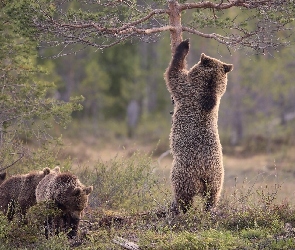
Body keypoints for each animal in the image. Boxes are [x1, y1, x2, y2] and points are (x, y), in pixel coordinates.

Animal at [164, 39, 234, 215]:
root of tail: (204, 172)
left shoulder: (186, 90)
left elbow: (173, 73)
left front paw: (184, 45)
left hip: (184, 173)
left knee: (183, 192)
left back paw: (181, 208)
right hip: (217, 178)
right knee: (213, 196)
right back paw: (210, 208)